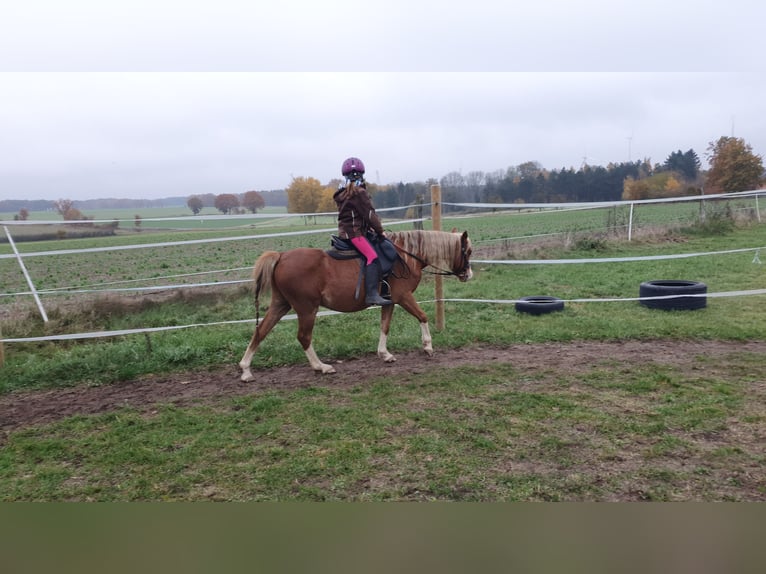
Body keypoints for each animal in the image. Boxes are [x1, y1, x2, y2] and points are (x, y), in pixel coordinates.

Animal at [238, 229, 473, 381]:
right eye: (468, 251)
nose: (468, 275)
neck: (406, 256)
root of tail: (281, 256)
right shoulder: (404, 297)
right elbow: (422, 316)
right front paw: (428, 346)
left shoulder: (389, 301)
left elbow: (384, 326)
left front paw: (384, 354)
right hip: (307, 309)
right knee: (303, 337)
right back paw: (321, 367)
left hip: (281, 304)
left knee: (261, 331)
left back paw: (246, 370)